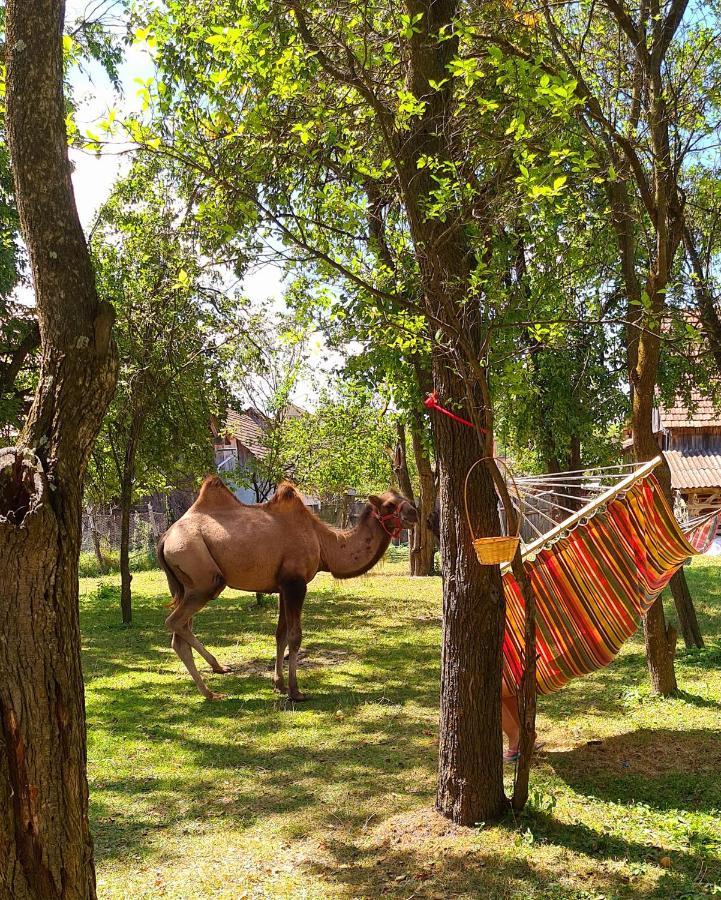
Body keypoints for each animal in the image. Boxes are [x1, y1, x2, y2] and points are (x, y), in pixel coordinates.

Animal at [158, 478, 416, 704]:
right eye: (389, 505)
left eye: (403, 498)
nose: (414, 512)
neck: (323, 544)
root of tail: (164, 538)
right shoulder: (296, 583)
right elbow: (295, 636)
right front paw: (295, 691)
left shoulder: (282, 586)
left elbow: (280, 633)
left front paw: (279, 685)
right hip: (203, 578)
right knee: (175, 622)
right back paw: (214, 682)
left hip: (183, 587)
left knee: (179, 635)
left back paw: (213, 684)